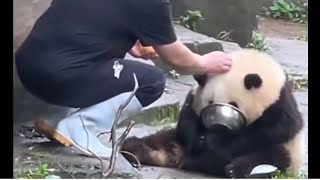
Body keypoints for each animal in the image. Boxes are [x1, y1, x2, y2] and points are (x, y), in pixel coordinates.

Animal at [120, 48, 304, 179]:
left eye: (234, 105)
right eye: (210, 103)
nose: (219, 126)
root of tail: (184, 159)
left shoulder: (278, 101)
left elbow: (275, 128)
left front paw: (214, 142)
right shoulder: (196, 94)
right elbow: (188, 116)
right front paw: (199, 140)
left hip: (288, 152)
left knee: (271, 158)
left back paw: (235, 170)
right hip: (174, 139)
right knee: (160, 140)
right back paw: (133, 149)